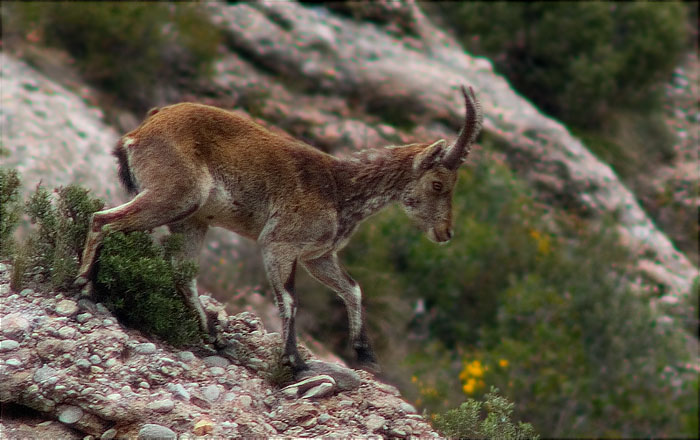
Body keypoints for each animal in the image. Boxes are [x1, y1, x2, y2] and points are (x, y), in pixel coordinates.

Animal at [76, 87, 482, 374]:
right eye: (438, 185)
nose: (445, 233)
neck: (341, 189)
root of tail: (140, 131)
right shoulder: (279, 244)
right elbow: (289, 299)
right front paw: (294, 361)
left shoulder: (318, 256)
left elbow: (352, 289)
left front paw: (366, 355)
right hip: (176, 196)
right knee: (103, 220)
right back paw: (84, 286)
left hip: (191, 219)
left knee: (181, 271)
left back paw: (211, 335)